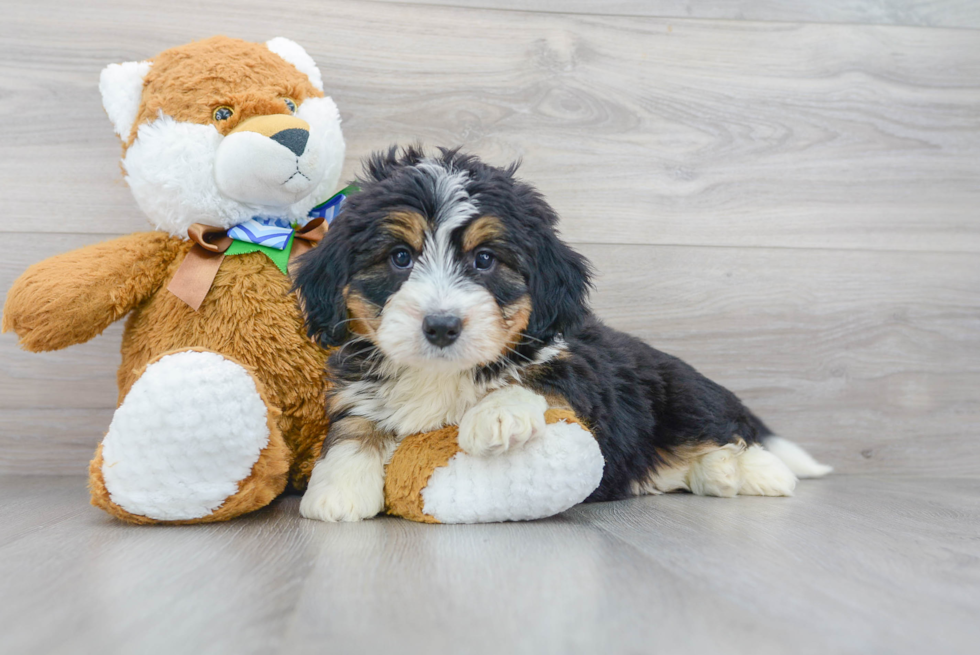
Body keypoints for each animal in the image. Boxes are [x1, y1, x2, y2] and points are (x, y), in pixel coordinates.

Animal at [294, 147, 832, 524]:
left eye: (484, 260)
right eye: (400, 258)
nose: (442, 325)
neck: (442, 374)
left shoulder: (578, 365)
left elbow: (538, 377)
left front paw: (497, 415)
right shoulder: (358, 386)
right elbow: (354, 427)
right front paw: (338, 490)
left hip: (684, 396)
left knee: (731, 433)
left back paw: (752, 473)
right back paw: (712, 474)